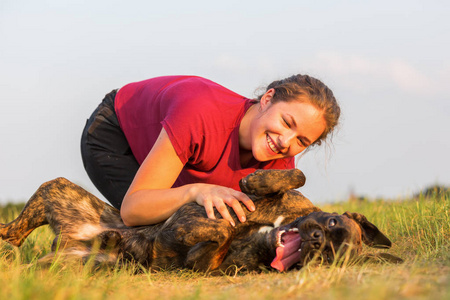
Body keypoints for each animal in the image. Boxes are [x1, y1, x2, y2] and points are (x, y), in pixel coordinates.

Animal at [0, 169, 400, 272]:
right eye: (332, 224)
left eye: (332, 255)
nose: (317, 240)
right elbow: (296, 175)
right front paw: (255, 184)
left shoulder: (208, 264)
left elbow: (217, 237)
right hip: (56, 191)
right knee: (10, 233)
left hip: (72, 259)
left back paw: (111, 242)